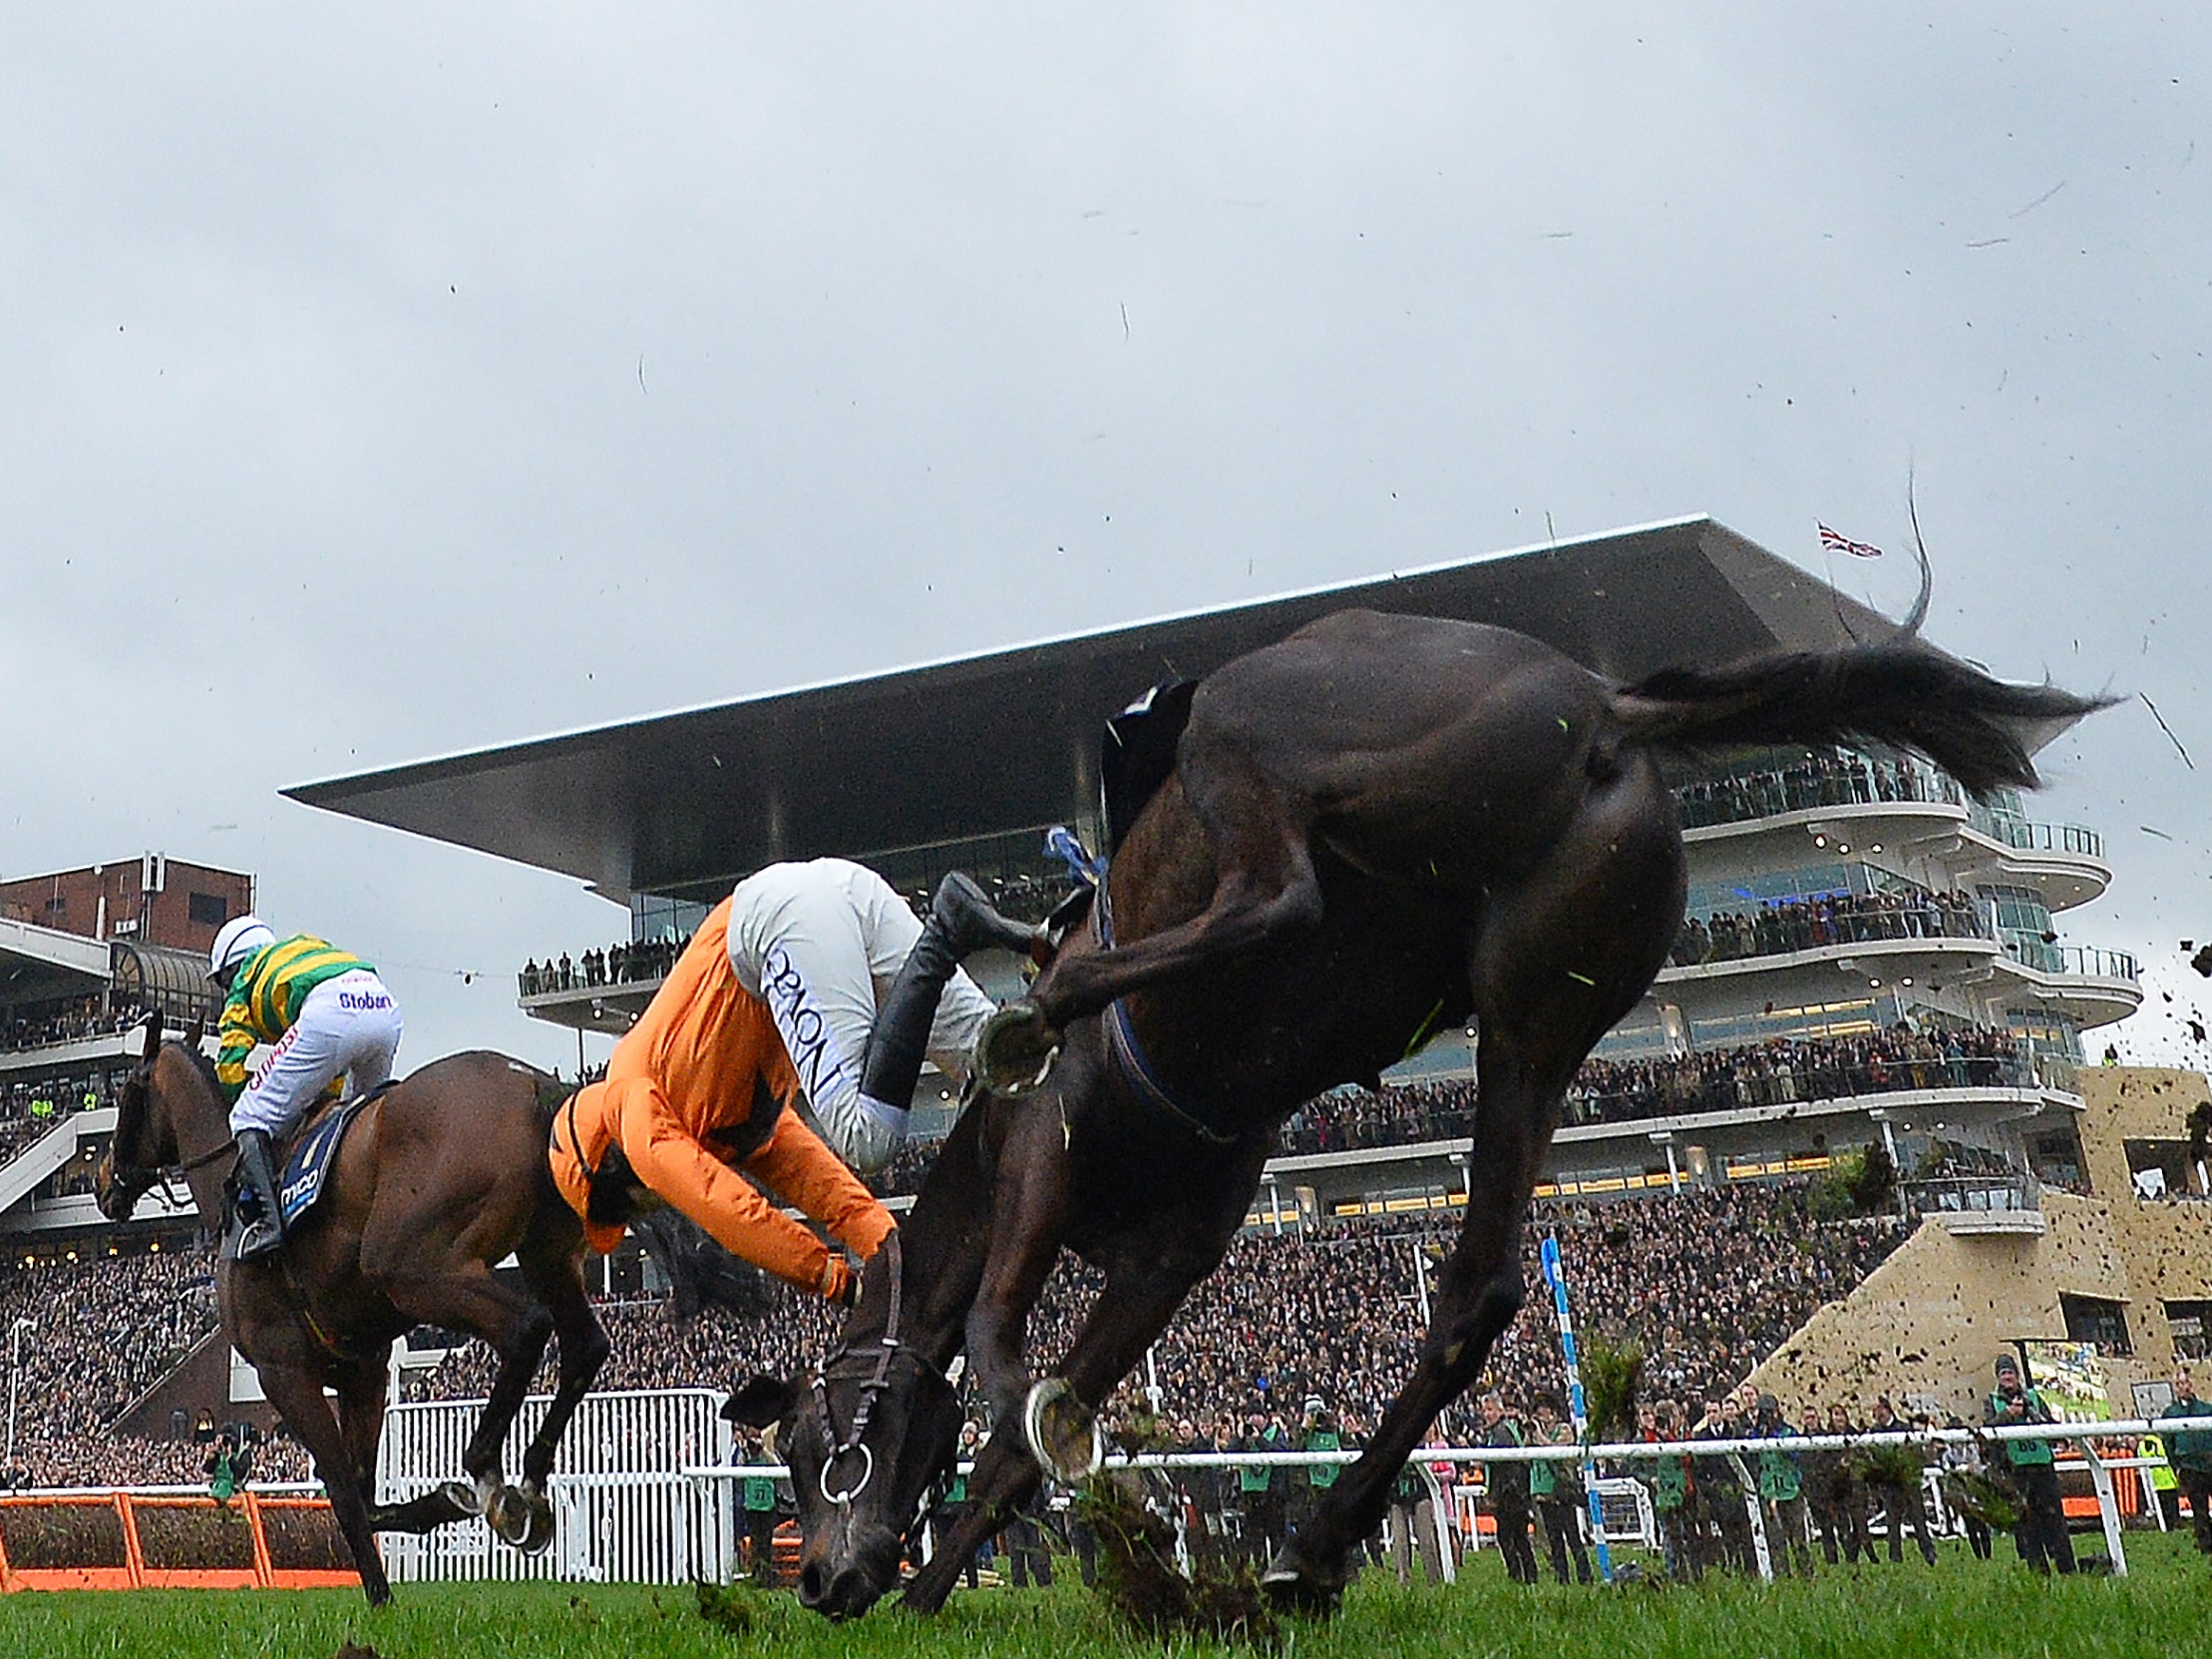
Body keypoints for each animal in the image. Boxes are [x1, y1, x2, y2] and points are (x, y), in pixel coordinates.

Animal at [98, 1022, 605, 1601]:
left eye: (124, 1093)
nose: (104, 1181)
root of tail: (531, 1084)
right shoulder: (363, 1371)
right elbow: (363, 1495)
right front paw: (423, 1516)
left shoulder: (283, 1371)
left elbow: (342, 1491)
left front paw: (380, 1596)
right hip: (548, 1255)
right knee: (585, 1345)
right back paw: (530, 1486)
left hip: (414, 1271)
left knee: (525, 1329)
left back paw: (488, 1478)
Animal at [729, 606, 2105, 1619]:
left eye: (806, 1442)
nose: (823, 1580)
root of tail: (1605, 703)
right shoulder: (1169, 1253)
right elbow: (1029, 1415)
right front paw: (949, 1582)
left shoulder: (1044, 1161)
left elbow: (1004, 1334)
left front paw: (1023, 1431)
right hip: (1536, 1010)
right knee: (1479, 1285)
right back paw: (1311, 1547)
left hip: (1259, 735)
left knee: (1275, 894)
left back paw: (1043, 995)